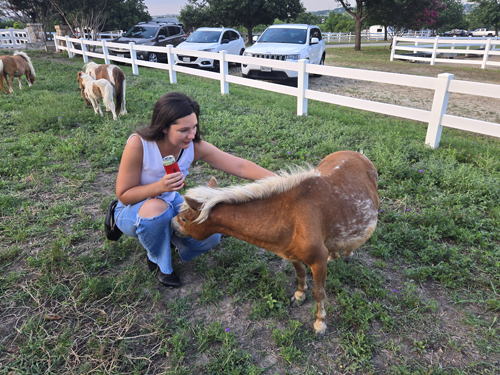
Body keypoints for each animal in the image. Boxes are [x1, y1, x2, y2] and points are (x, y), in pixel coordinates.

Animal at [172, 151, 378, 336]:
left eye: (184, 218)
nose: (171, 225)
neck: (290, 217)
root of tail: (357, 154)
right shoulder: (291, 255)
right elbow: (300, 274)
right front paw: (300, 295)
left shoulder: (318, 262)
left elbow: (319, 293)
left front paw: (320, 324)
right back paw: (335, 254)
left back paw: (347, 254)